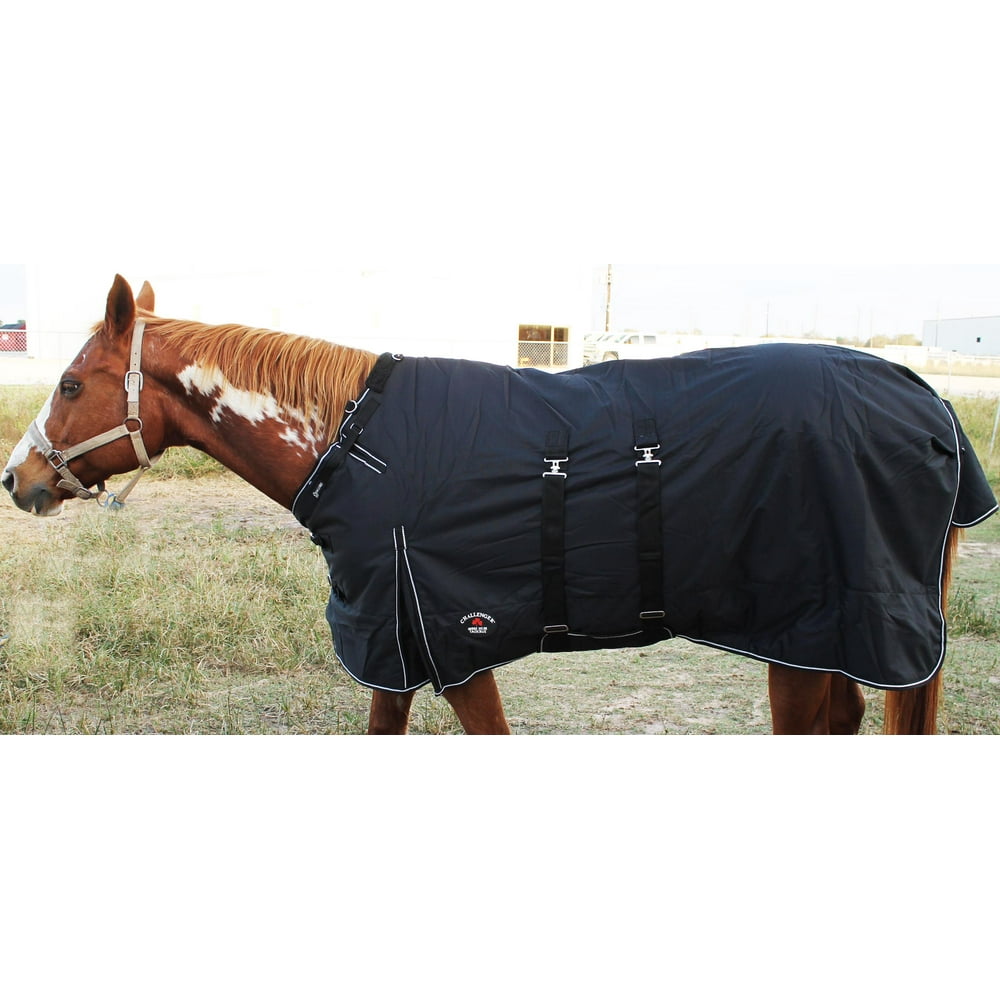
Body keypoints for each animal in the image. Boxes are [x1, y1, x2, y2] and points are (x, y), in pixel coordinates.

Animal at [4, 275, 996, 734]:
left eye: (71, 383)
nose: (19, 480)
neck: (352, 441)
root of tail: (928, 399)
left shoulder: (448, 645)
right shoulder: (400, 654)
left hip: (801, 638)